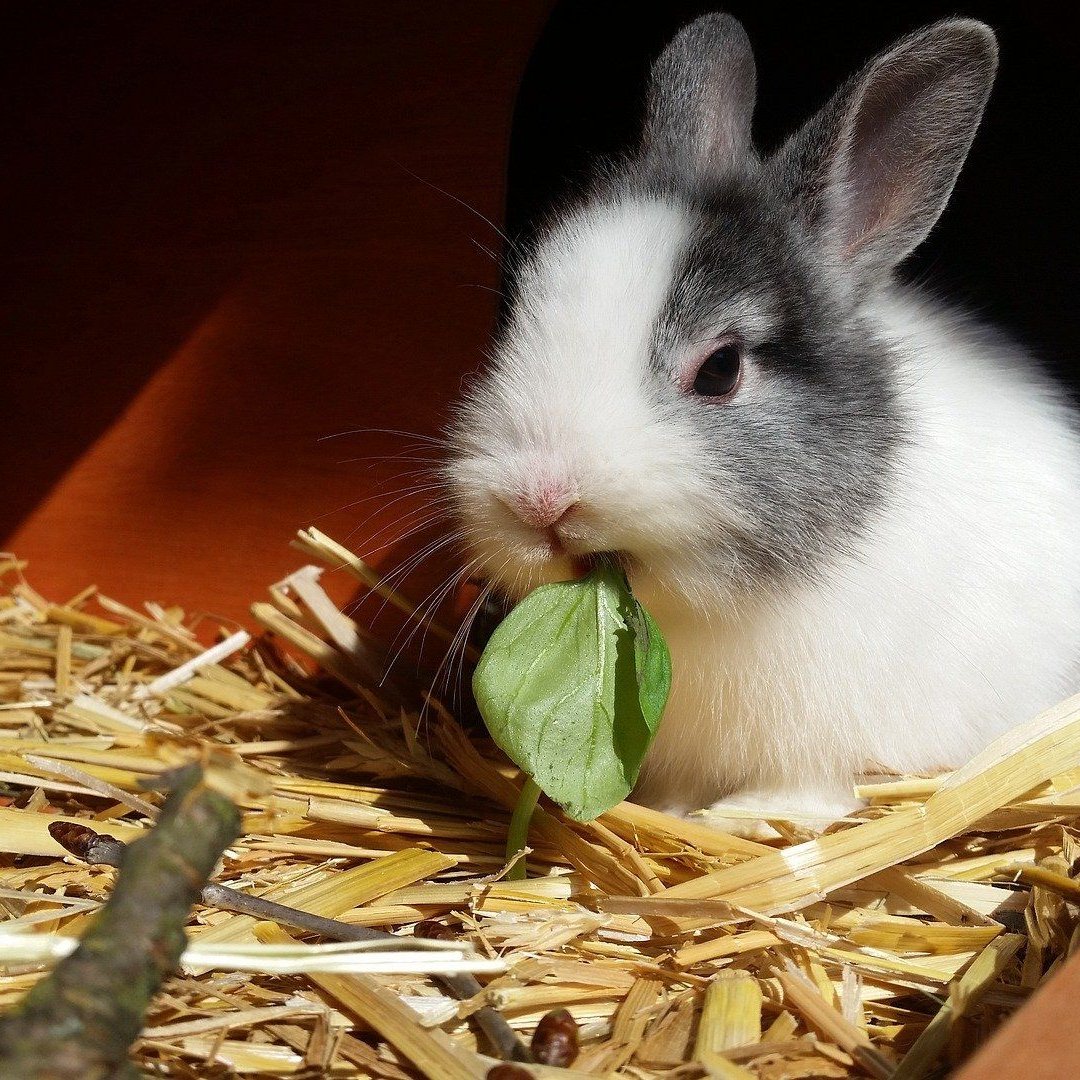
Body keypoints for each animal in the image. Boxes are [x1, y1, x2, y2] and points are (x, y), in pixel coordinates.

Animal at [442, 13, 1080, 836]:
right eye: (518, 315)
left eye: (720, 369)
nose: (539, 500)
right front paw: (678, 810)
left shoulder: (823, 741)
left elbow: (808, 791)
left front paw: (743, 817)